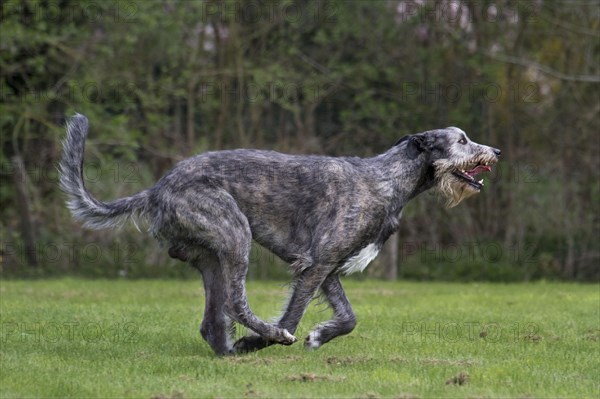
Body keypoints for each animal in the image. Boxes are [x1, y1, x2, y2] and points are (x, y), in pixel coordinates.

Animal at [61, 113, 502, 356]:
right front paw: (268, 341)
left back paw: (228, 352)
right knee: (235, 304)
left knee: (212, 321)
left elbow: (349, 317)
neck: (387, 180)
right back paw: (259, 339)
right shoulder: (316, 263)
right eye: (462, 140)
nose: (496, 152)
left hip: (211, 256)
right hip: (234, 236)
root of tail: (156, 190)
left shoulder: (329, 268)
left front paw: (319, 337)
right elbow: (295, 312)